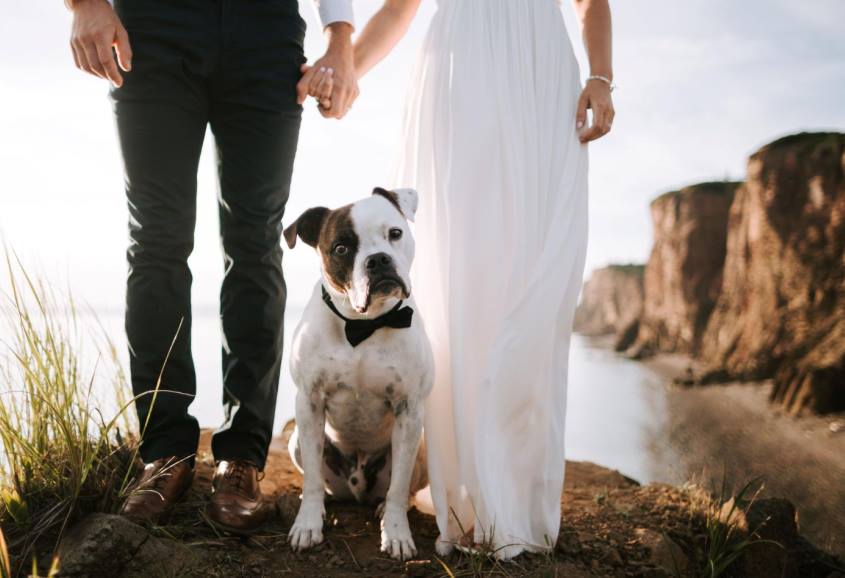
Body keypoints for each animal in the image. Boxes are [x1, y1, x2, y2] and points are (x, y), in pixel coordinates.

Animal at [282, 187, 432, 556]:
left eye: (395, 233)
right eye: (341, 248)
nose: (378, 260)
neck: (364, 324)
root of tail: (357, 487)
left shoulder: (409, 409)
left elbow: (398, 488)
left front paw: (396, 533)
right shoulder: (309, 403)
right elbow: (311, 481)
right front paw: (307, 524)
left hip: (419, 445)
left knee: (399, 488)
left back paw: (382, 508)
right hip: (296, 440)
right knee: (321, 481)